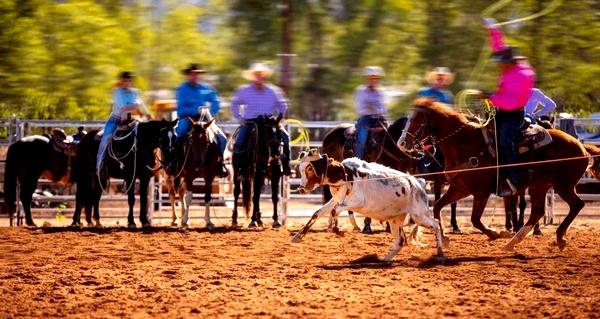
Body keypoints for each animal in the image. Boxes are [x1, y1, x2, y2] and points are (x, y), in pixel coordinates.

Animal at [292, 151, 446, 262]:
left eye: (310, 168)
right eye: (301, 169)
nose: (301, 189)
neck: (345, 175)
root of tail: (418, 183)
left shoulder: (357, 202)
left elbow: (335, 211)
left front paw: (338, 230)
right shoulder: (336, 200)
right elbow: (318, 213)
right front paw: (298, 236)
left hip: (419, 215)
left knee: (436, 224)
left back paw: (440, 253)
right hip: (395, 219)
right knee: (400, 241)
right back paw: (385, 259)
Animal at [398, 99, 600, 251]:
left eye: (417, 120)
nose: (401, 143)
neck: (463, 143)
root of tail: (581, 146)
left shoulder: (481, 192)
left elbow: (475, 219)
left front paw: (497, 233)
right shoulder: (460, 189)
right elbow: (437, 207)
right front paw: (445, 238)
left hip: (562, 185)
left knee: (576, 204)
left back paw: (557, 237)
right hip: (540, 185)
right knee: (538, 211)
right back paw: (513, 242)